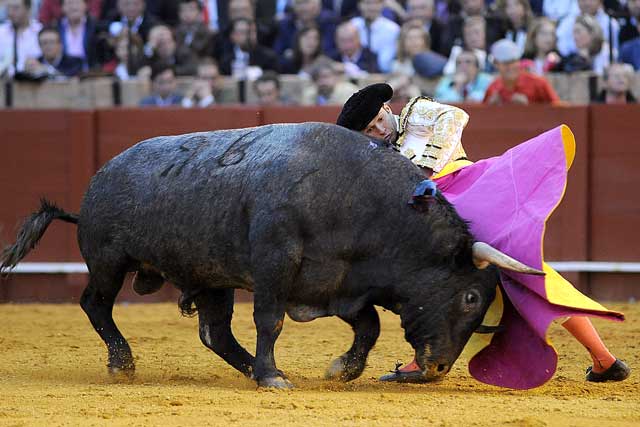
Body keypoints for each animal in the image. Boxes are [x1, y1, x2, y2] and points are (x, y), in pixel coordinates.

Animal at [0, 122, 544, 390]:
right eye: (471, 297)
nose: (436, 369)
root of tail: (98, 180)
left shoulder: (340, 284)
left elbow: (368, 325)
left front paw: (341, 370)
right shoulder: (275, 265)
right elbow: (271, 320)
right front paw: (274, 374)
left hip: (211, 277)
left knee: (214, 332)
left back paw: (245, 369)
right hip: (109, 261)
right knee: (95, 304)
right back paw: (123, 363)